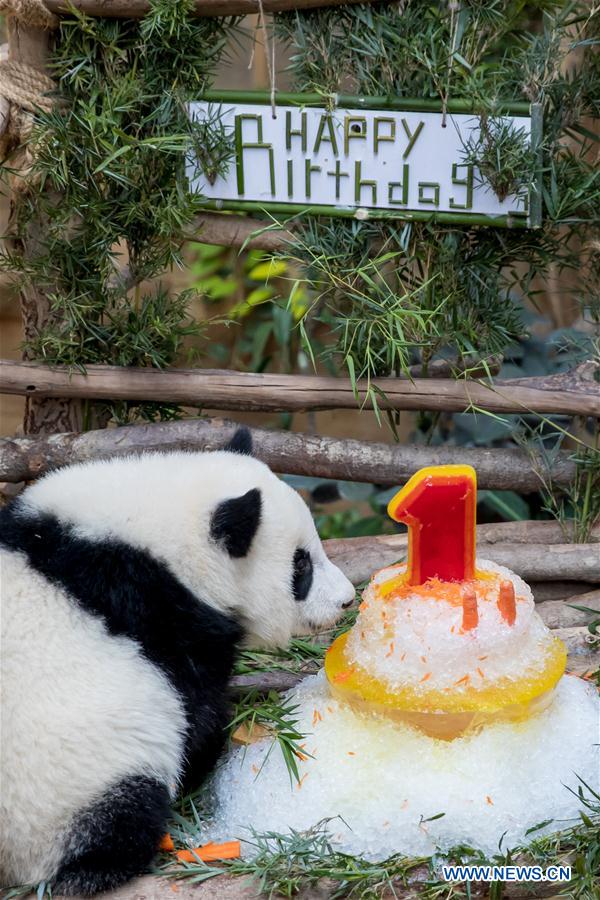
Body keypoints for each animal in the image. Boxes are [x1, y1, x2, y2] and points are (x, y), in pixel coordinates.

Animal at [0, 428, 354, 892]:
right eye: (301, 566)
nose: (346, 600)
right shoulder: (162, 612)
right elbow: (193, 712)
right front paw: (211, 749)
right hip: (61, 788)